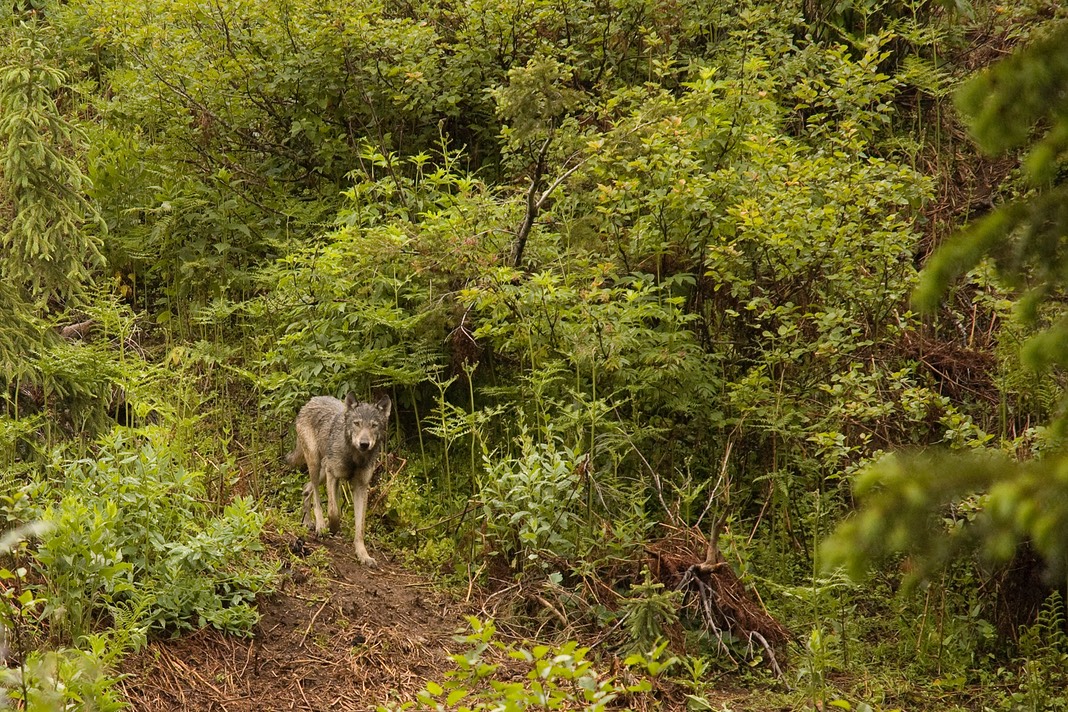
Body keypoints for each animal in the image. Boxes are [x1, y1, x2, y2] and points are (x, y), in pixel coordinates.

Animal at [286, 394, 391, 567]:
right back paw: (320, 525)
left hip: (321, 473)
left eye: (374, 425)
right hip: (316, 465)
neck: (355, 458)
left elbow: (360, 527)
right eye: (357, 423)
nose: (364, 444)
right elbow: (334, 512)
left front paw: (363, 555)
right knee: (315, 496)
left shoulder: (361, 487)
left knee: (306, 489)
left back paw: (307, 522)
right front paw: (330, 528)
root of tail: (312, 400)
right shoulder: (333, 475)